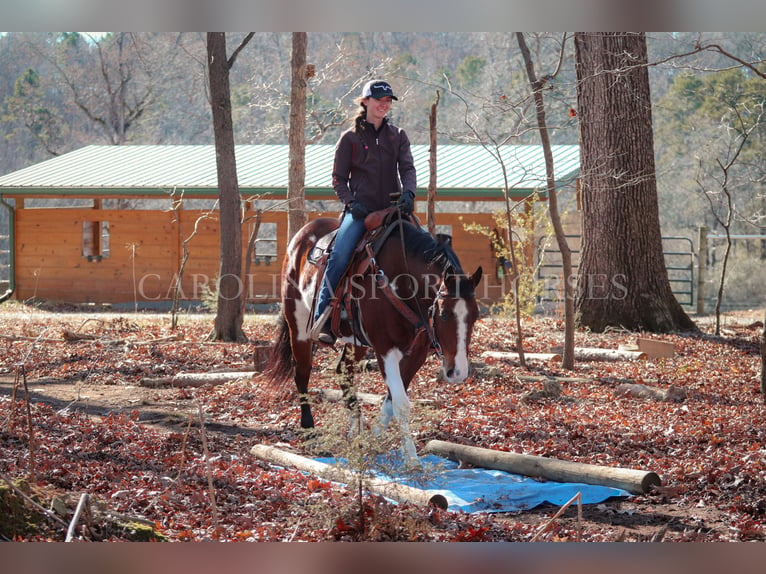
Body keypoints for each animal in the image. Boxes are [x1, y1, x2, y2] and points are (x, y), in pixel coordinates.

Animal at [270, 209, 484, 462]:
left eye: (476, 316)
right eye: (443, 315)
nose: (458, 372)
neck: (400, 281)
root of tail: (300, 237)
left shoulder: (417, 353)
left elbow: (391, 400)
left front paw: (372, 439)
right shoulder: (385, 349)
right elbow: (401, 403)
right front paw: (412, 461)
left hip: (356, 341)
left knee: (343, 373)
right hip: (299, 327)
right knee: (302, 374)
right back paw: (310, 432)